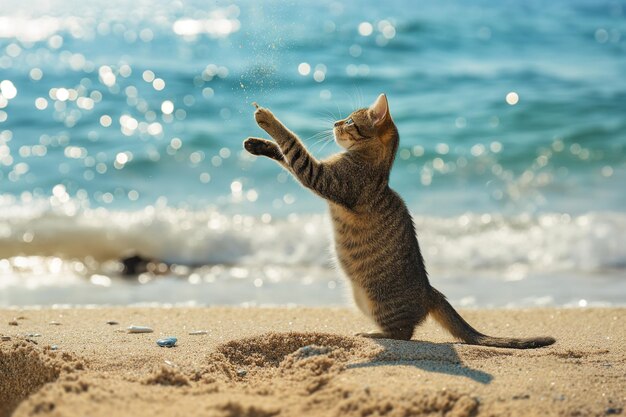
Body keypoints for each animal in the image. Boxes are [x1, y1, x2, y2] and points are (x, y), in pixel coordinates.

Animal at [244, 94, 556, 348]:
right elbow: (283, 154)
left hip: (379, 302)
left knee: (404, 333)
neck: (375, 166)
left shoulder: (323, 177)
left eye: (350, 121)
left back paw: (373, 334)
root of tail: (430, 291)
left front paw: (267, 118)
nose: (335, 122)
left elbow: (292, 145)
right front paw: (258, 144)